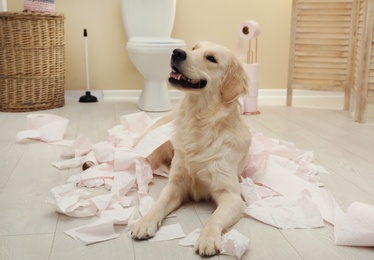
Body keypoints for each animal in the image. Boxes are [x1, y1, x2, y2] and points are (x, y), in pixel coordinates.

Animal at [131, 41, 251, 256]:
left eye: (211, 58)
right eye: (194, 48)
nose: (177, 52)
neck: (199, 122)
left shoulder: (231, 195)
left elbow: (215, 217)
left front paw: (208, 238)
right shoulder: (176, 183)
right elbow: (158, 204)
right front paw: (145, 222)